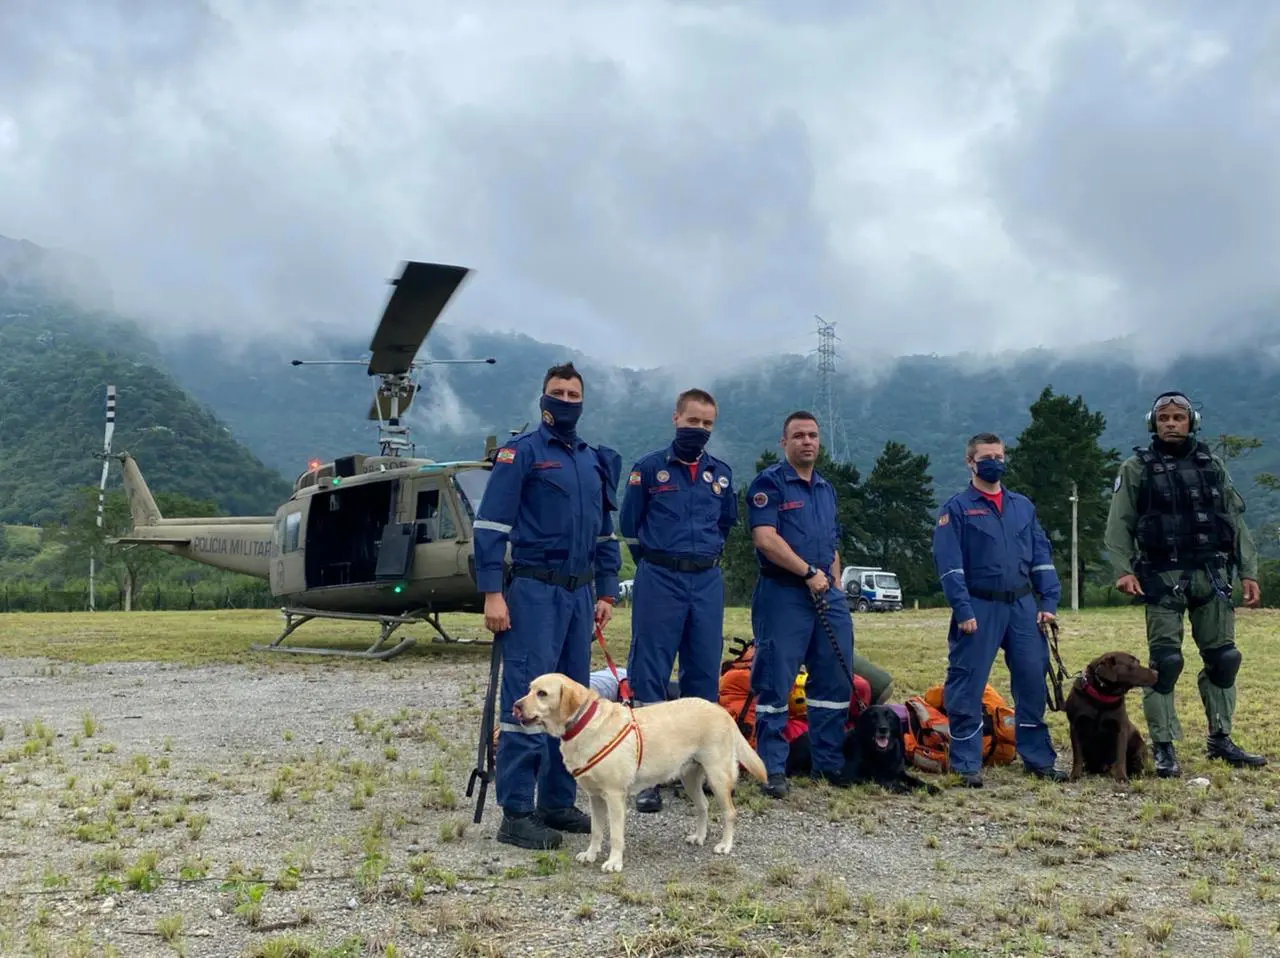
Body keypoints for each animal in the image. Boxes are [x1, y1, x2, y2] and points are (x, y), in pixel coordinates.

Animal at [512, 671, 768, 870]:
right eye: (529, 689)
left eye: (542, 693)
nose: (515, 706)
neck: (583, 725)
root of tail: (720, 710)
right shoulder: (595, 797)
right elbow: (596, 830)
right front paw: (591, 854)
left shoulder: (614, 796)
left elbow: (615, 835)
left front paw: (614, 862)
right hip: (689, 778)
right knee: (703, 806)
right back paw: (699, 837)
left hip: (717, 777)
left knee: (730, 813)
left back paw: (725, 845)